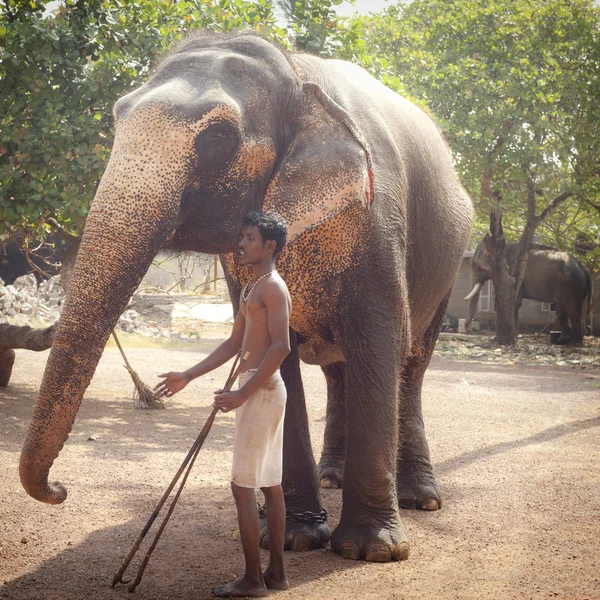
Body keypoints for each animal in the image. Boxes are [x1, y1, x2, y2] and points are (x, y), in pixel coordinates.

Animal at [18, 32, 474, 564]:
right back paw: (330, 479)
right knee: (339, 370)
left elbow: (378, 345)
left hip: (450, 261)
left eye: (217, 137)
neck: (295, 76)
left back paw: (421, 500)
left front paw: (369, 551)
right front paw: (295, 538)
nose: (60, 490)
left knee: (411, 365)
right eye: (116, 115)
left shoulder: (378, 222)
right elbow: (274, 350)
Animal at [464, 238, 592, 342]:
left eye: (474, 265)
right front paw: (515, 337)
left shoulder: (512, 272)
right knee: (561, 310)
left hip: (573, 285)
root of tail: (584, 267)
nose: (466, 331)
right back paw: (563, 341)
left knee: (572, 311)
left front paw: (513, 337)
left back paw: (575, 343)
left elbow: (515, 302)